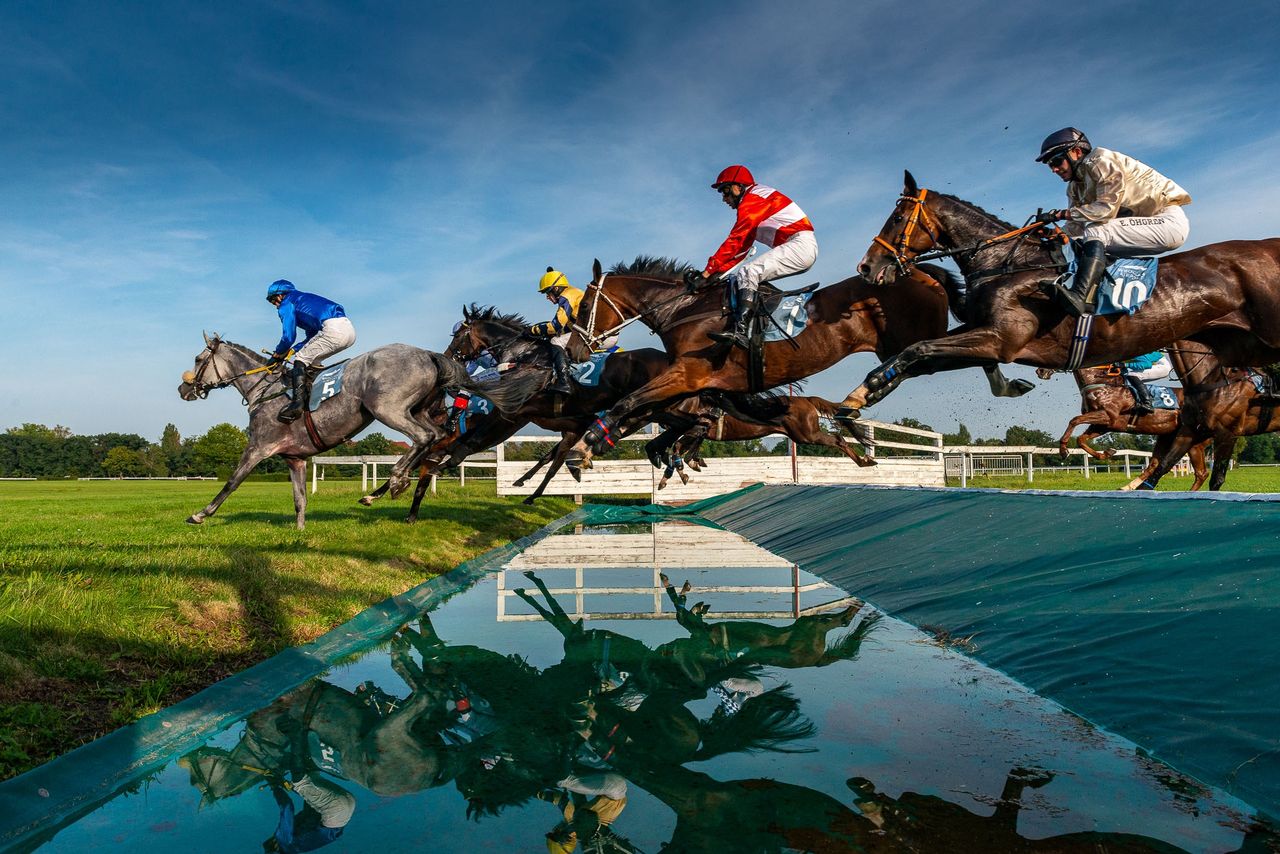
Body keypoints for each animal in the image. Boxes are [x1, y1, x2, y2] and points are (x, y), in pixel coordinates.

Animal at [179, 332, 540, 527]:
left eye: (197, 360)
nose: (184, 390)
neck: (263, 391)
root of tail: (427, 354)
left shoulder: (258, 447)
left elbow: (232, 482)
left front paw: (200, 514)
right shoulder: (295, 459)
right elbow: (299, 499)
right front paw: (299, 533)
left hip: (387, 409)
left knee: (422, 438)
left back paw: (395, 481)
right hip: (420, 410)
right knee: (434, 439)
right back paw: (387, 487)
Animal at [565, 253, 1034, 471]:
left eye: (584, 304)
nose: (573, 351)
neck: (685, 310)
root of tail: (917, 270)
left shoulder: (689, 373)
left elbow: (629, 403)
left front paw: (583, 448)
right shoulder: (694, 385)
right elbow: (645, 411)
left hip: (910, 338)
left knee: (952, 348)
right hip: (897, 344)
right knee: (961, 345)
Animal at [834, 170, 1280, 425]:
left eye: (896, 219)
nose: (866, 267)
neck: (1009, 264)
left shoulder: (1000, 339)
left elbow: (918, 349)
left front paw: (870, 387)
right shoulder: (988, 337)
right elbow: (916, 357)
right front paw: (861, 395)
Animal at [1029, 363, 1208, 491]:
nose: (1040, 370)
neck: (1100, 382)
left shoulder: (1108, 416)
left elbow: (1074, 420)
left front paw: (1063, 450)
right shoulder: (1104, 425)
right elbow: (1081, 439)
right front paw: (1106, 453)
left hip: (1189, 438)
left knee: (1199, 473)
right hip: (1167, 435)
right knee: (1158, 465)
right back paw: (1128, 487)